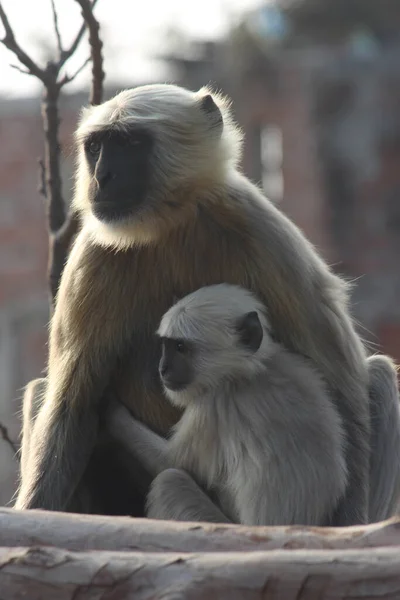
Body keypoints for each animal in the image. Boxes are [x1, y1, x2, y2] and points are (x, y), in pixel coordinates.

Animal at [106, 284, 350, 524]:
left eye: (180, 347)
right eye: (166, 345)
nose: (163, 369)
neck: (247, 373)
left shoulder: (212, 404)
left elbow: (169, 462)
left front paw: (112, 413)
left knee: (170, 481)